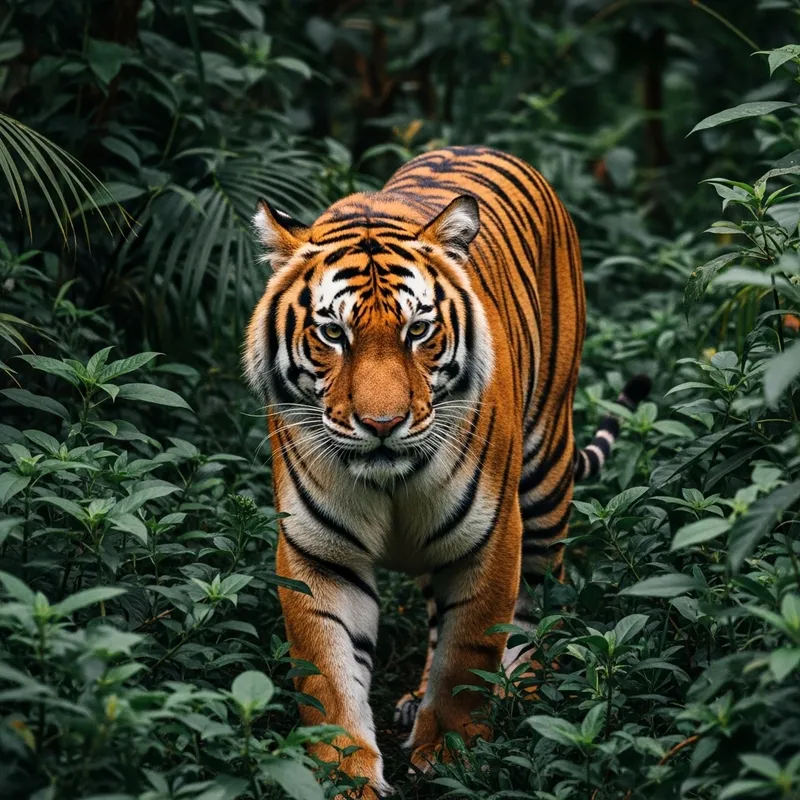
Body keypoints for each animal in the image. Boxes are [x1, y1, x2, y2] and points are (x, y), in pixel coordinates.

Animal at [243, 145, 650, 797]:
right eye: (333, 333)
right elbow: (327, 673)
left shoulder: (490, 536)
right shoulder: (318, 552)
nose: (382, 423)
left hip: (545, 475)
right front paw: (343, 774)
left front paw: (454, 756)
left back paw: (527, 687)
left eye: (418, 330)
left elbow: (469, 655)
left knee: (540, 599)